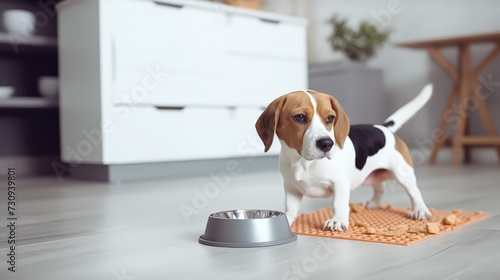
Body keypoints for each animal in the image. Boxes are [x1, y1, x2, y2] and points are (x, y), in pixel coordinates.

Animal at [256, 84, 432, 231]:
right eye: (299, 117)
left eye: (330, 118)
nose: (326, 144)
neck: (303, 162)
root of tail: (383, 127)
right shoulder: (291, 187)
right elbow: (291, 207)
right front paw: (288, 218)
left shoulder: (339, 183)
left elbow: (338, 204)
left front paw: (338, 221)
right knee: (379, 188)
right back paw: (374, 203)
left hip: (403, 173)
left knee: (414, 192)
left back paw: (420, 210)